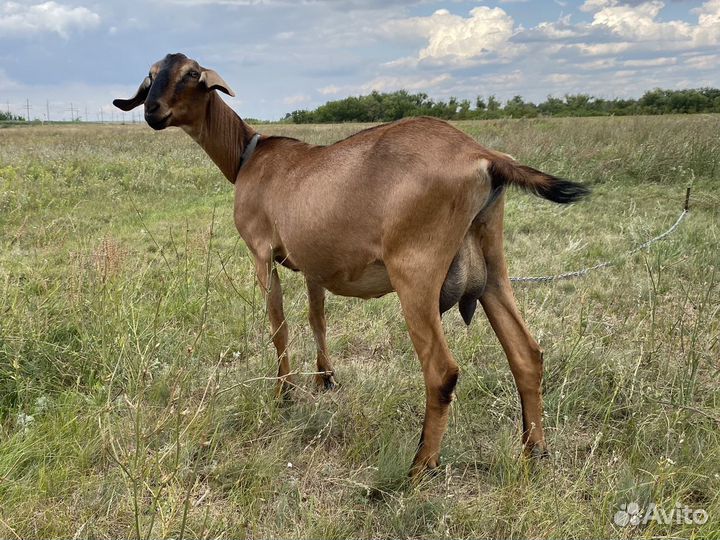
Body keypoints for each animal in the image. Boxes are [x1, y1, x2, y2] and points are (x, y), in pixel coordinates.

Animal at [115, 53, 592, 476]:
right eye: (151, 75)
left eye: (191, 74)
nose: (152, 110)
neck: (248, 156)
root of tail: (484, 157)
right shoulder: (312, 263)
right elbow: (317, 317)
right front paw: (325, 379)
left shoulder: (261, 252)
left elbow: (278, 324)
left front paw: (284, 393)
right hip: (492, 262)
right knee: (526, 353)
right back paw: (534, 451)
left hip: (416, 272)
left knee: (441, 371)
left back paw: (419, 468)